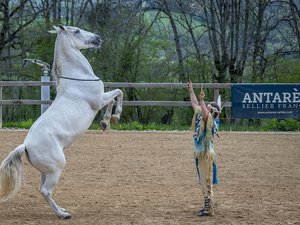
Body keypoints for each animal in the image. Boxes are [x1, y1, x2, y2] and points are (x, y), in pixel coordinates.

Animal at [0, 25, 123, 219]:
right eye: (77, 31)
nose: (98, 38)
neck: (79, 77)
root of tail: (25, 146)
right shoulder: (99, 100)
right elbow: (118, 93)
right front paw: (113, 118)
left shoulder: (101, 99)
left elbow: (116, 95)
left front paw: (106, 123)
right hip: (56, 169)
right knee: (45, 191)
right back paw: (63, 214)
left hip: (46, 172)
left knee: (41, 190)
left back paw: (62, 210)